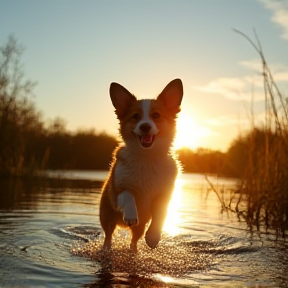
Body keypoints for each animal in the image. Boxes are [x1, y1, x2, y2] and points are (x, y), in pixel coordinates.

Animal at [100, 79, 183, 252]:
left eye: (156, 115)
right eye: (135, 116)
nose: (145, 126)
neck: (147, 158)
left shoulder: (164, 195)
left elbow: (160, 215)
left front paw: (153, 236)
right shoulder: (119, 191)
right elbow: (129, 196)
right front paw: (131, 214)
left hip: (139, 229)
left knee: (134, 240)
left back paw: (134, 251)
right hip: (107, 217)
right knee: (108, 235)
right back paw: (106, 249)